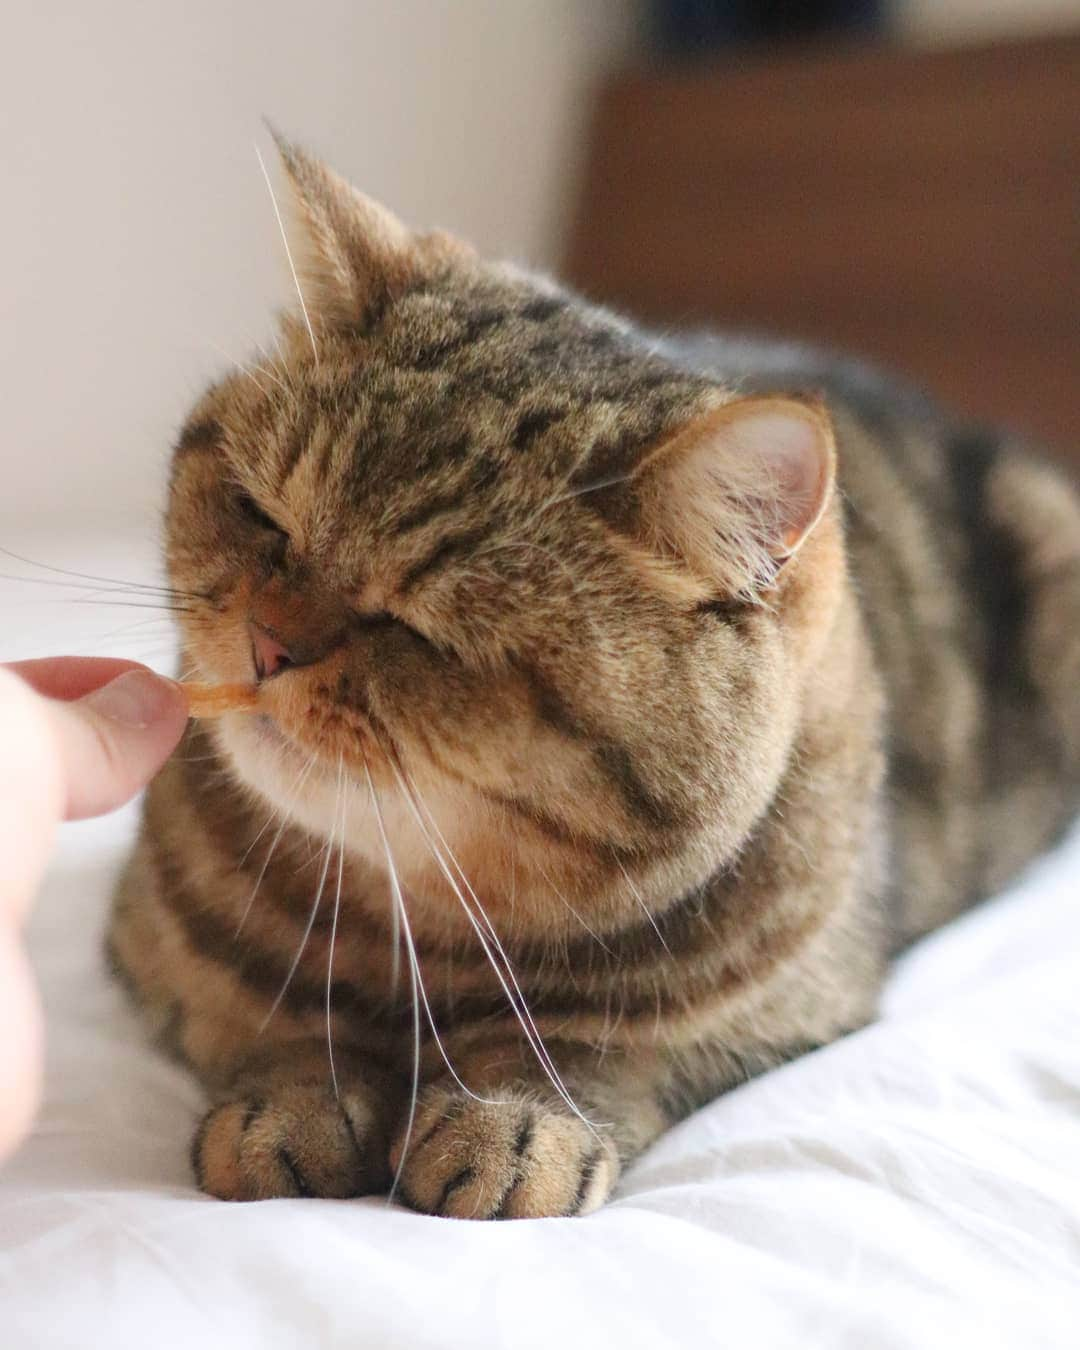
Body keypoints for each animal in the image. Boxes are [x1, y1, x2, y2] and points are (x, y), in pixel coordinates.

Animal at [105, 142, 1074, 1220]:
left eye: (422, 628)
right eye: (263, 516)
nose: (268, 645)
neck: (414, 926)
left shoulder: (782, 1015)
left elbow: (591, 1047)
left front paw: (513, 1121)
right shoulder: (154, 947)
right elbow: (273, 1012)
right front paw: (293, 1099)